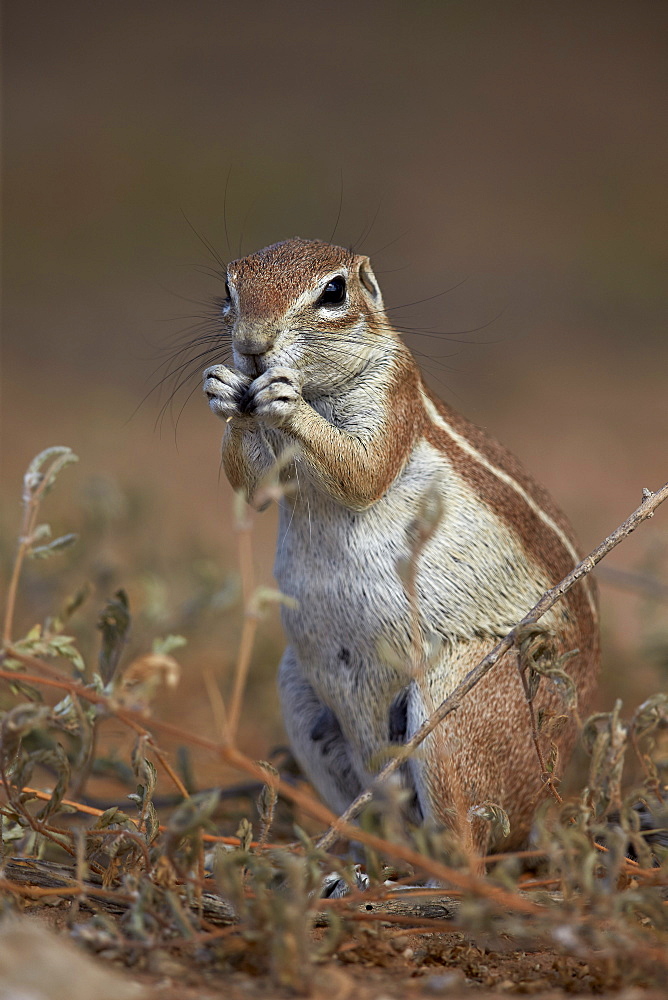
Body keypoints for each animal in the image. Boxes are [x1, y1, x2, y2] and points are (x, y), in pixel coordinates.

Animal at [204, 236, 600, 852]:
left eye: (334, 291)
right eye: (229, 287)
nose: (250, 347)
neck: (320, 388)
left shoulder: (392, 392)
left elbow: (363, 471)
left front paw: (288, 404)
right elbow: (256, 488)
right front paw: (224, 390)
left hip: (458, 707)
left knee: (469, 842)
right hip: (298, 690)